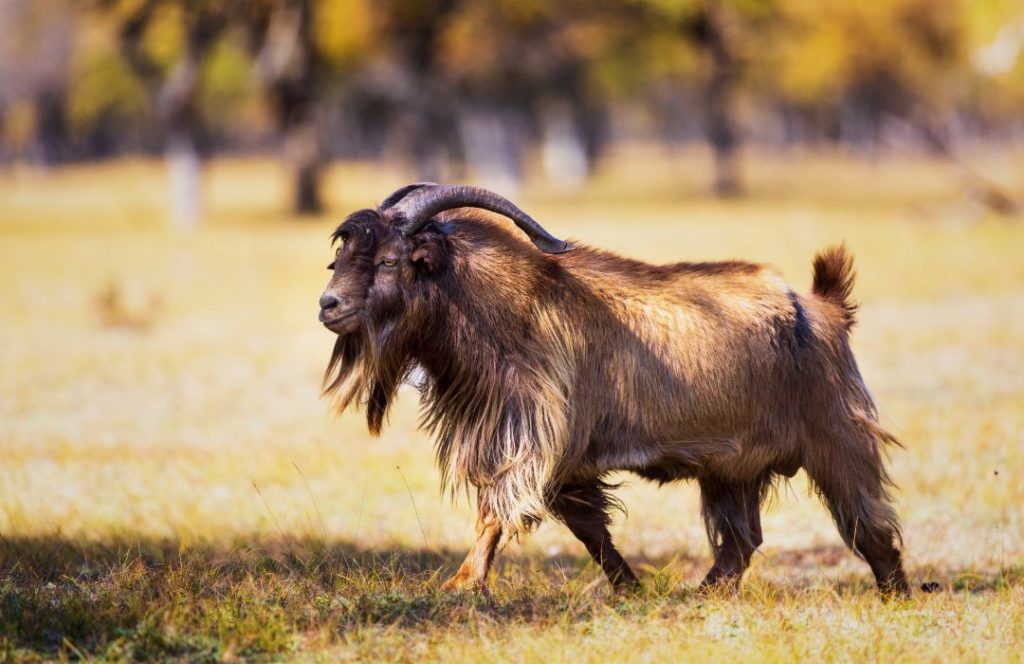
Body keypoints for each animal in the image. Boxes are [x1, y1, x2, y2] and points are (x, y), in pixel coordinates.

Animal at [319, 182, 913, 598]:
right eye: (340, 257)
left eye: (389, 260)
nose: (329, 304)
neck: (504, 308)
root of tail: (824, 306)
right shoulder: (563, 461)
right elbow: (590, 531)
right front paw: (632, 589)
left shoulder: (530, 438)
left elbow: (498, 509)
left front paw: (462, 584)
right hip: (732, 468)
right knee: (742, 541)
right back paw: (702, 594)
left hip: (837, 438)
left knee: (868, 525)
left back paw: (897, 595)